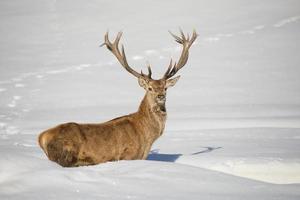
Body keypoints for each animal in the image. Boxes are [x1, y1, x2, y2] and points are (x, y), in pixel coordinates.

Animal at [38, 29, 197, 167]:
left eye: (165, 87)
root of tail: (41, 137)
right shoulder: (127, 155)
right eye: (150, 88)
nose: (160, 96)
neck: (147, 137)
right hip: (66, 153)